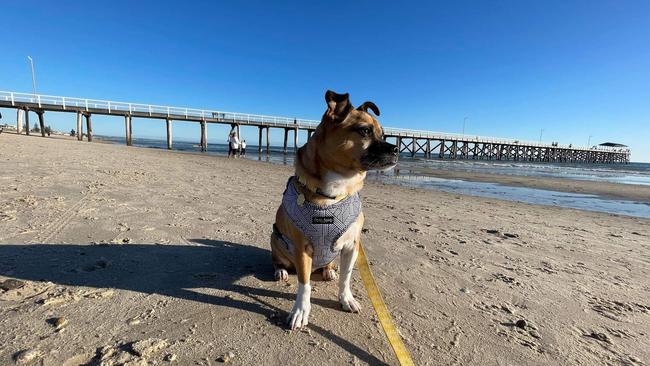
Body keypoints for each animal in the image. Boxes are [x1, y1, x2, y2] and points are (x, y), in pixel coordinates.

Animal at [268, 89, 394, 328]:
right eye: (364, 131)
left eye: (384, 135)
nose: (397, 149)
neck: (333, 193)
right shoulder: (302, 249)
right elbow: (304, 284)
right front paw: (300, 311)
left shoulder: (352, 246)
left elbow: (346, 277)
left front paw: (346, 299)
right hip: (275, 238)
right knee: (280, 260)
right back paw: (280, 271)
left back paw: (328, 271)